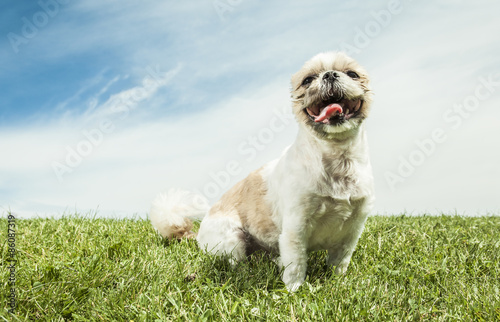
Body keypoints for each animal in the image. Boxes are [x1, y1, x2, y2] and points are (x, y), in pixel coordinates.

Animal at [150, 51, 374, 292]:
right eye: (307, 80)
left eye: (353, 74)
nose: (330, 74)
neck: (338, 160)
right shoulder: (295, 228)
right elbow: (296, 264)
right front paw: (294, 290)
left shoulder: (352, 230)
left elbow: (340, 262)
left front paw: (338, 282)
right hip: (232, 239)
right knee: (236, 262)